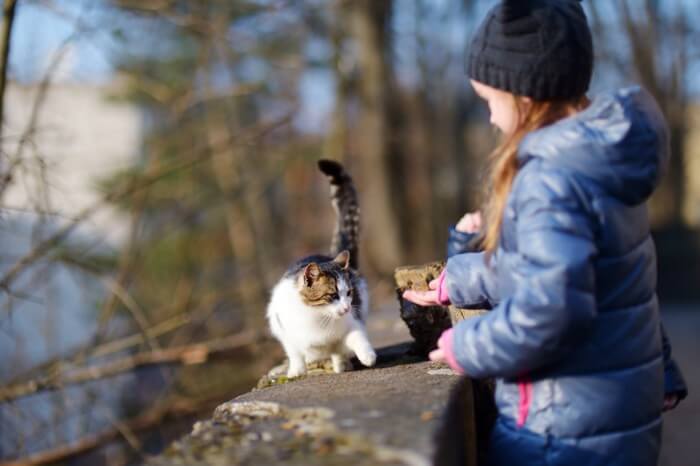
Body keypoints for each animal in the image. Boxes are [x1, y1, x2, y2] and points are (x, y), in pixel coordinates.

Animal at [266, 160, 378, 378]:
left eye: (349, 293)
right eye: (332, 295)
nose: (346, 308)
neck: (319, 317)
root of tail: (327, 255)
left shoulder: (352, 323)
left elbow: (357, 337)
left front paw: (368, 356)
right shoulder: (284, 331)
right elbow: (294, 353)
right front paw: (296, 371)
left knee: (338, 351)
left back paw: (342, 364)